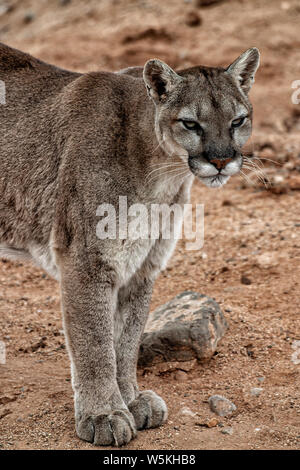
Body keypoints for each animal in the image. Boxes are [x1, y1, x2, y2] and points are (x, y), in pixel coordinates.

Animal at [0, 45, 258, 448]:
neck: (161, 172)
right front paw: (104, 414)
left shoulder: (142, 266)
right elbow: (95, 342)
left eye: (238, 120)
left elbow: (125, 339)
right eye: (190, 124)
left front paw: (132, 400)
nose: (221, 159)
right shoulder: (86, 261)